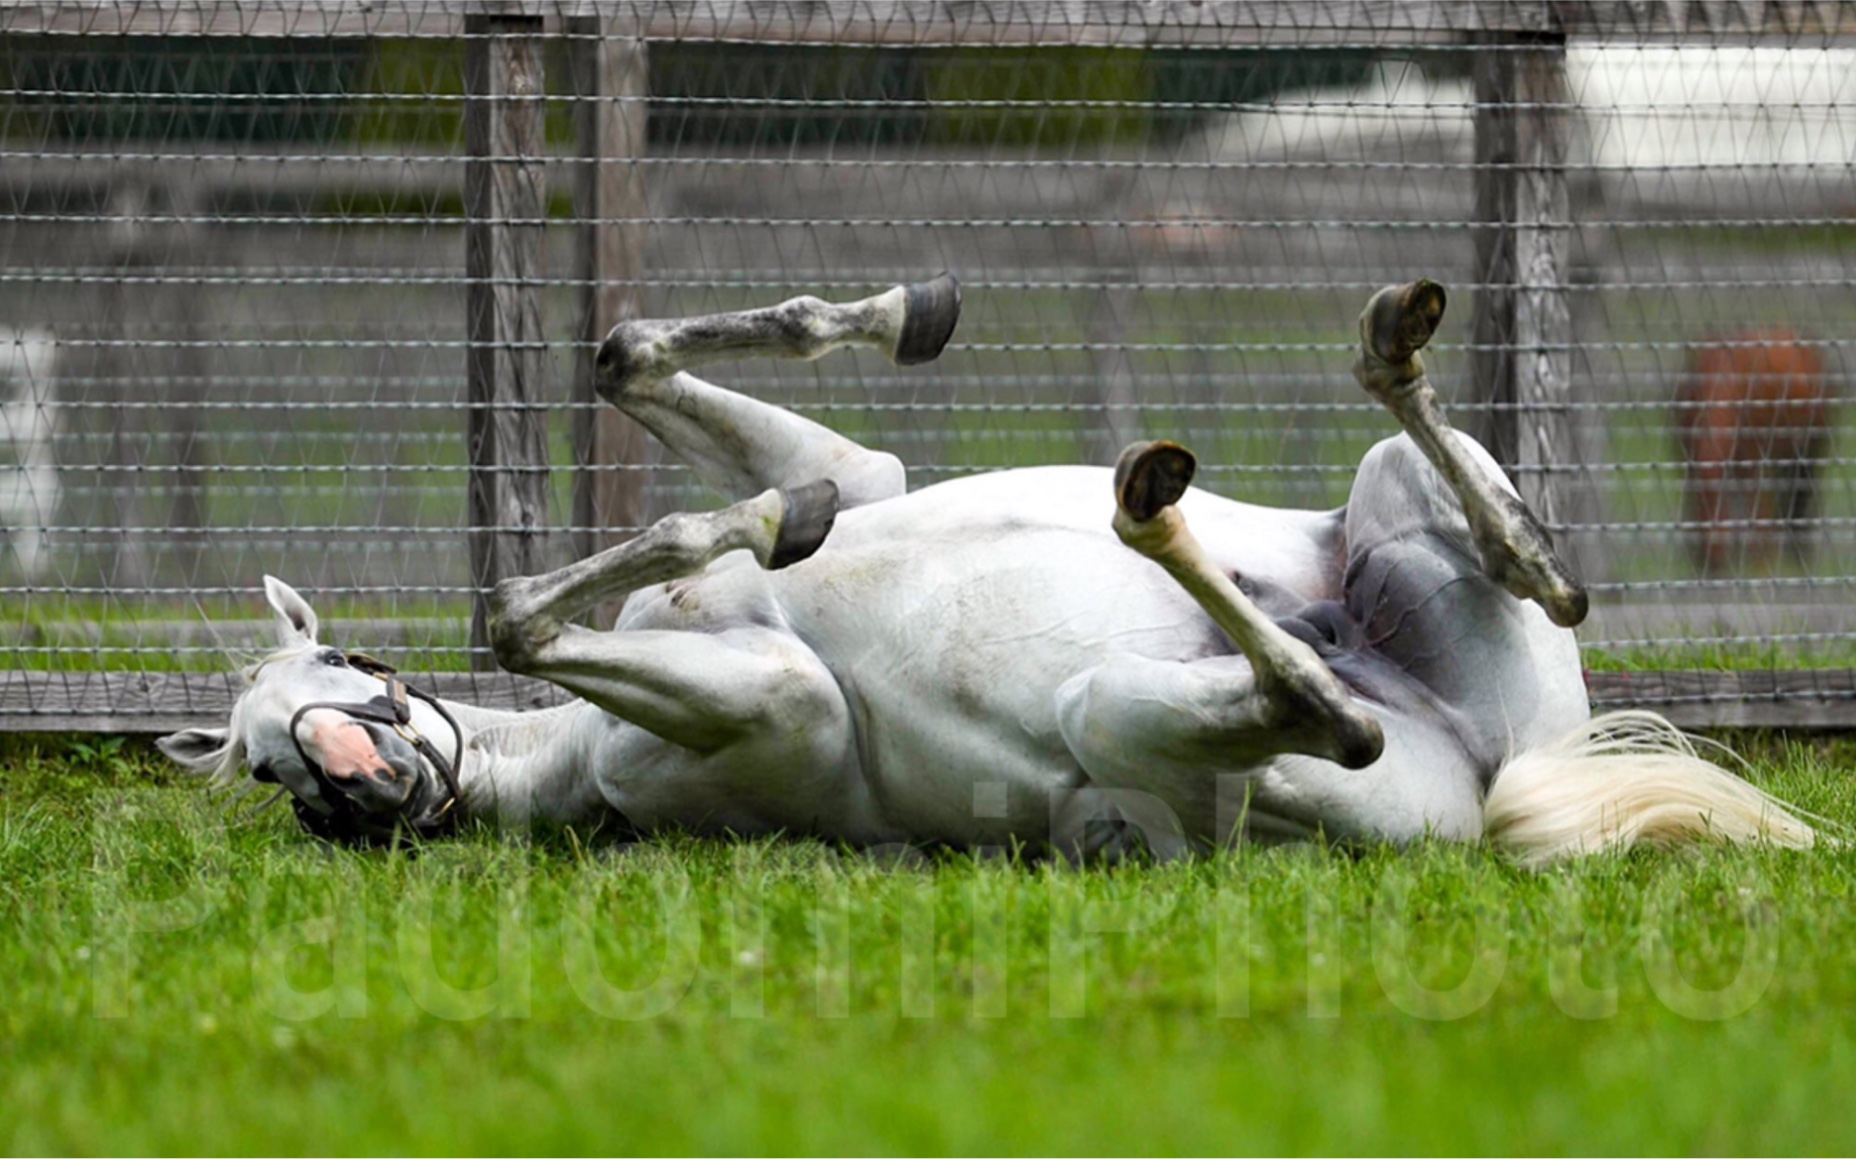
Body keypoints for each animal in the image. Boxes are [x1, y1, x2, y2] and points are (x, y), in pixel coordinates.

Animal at [155, 276, 1811, 865]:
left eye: (341, 665)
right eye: (262, 768)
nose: (352, 771)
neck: (575, 760)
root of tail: (1487, 772)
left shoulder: (858, 489)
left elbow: (646, 362)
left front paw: (894, 335)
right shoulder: (781, 702)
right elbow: (515, 610)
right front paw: (749, 526)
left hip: (1395, 518)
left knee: (1502, 545)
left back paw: (1389, 371)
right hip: (1127, 729)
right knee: (1320, 712)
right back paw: (1166, 514)